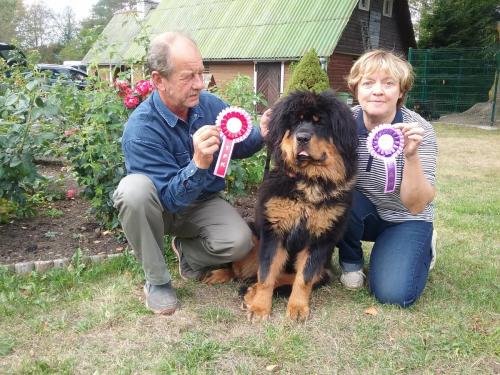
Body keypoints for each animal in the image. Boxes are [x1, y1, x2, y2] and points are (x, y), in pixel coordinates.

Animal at [205, 89, 358, 322]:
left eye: (320, 122)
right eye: (295, 123)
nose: (302, 137)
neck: (308, 181)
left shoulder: (319, 239)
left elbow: (303, 279)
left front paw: (297, 308)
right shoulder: (274, 231)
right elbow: (267, 274)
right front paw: (260, 308)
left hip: (325, 270)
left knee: (289, 277)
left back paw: (249, 291)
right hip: (253, 236)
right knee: (242, 272)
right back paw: (221, 275)